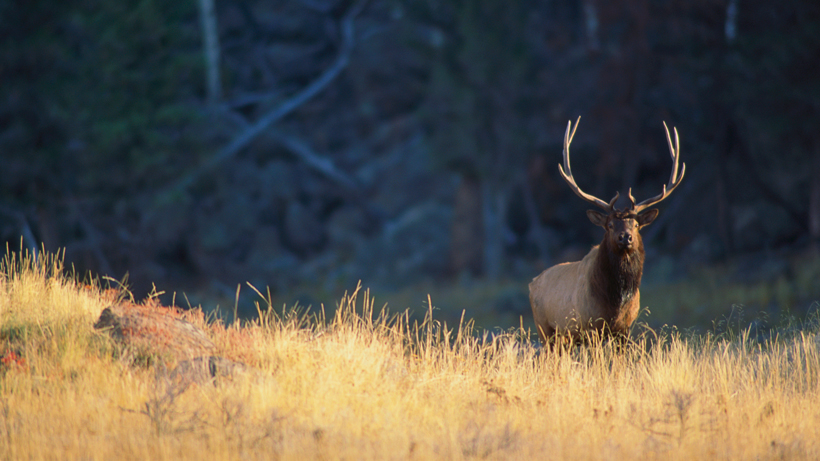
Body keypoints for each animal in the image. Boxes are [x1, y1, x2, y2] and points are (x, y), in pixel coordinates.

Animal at [528, 117, 684, 344]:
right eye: (610, 225)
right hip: (546, 331)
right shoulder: (589, 325)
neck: (615, 303)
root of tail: (532, 284)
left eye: (635, 225)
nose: (625, 237)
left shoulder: (625, 329)